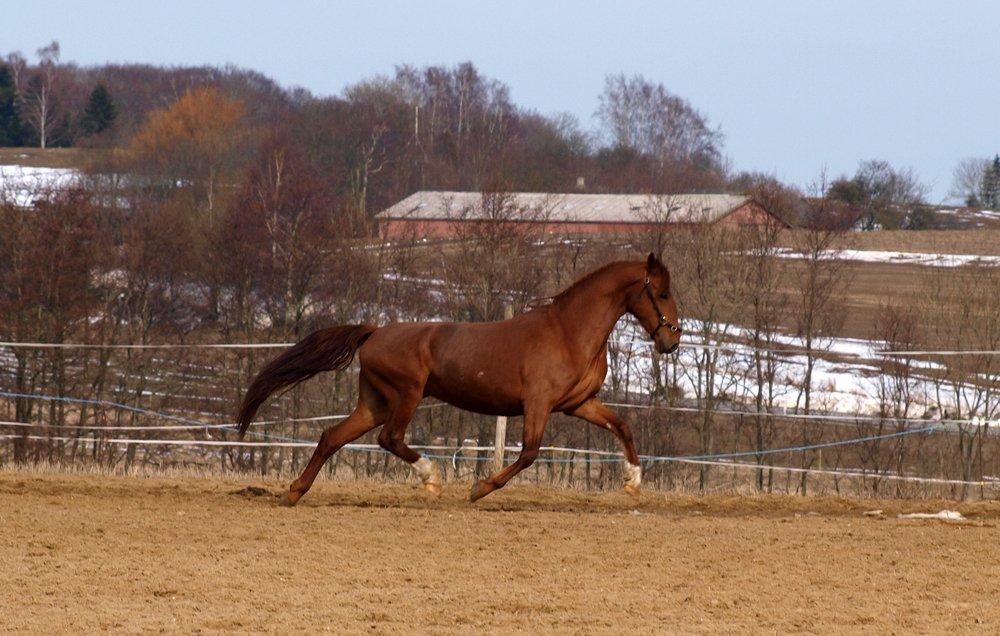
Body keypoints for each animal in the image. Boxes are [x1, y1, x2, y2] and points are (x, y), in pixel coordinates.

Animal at [238, 251, 684, 504]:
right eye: (661, 293)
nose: (672, 340)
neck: (569, 331)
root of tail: (375, 332)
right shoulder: (538, 404)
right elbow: (529, 453)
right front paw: (479, 488)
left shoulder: (578, 404)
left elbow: (622, 426)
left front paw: (633, 482)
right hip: (407, 394)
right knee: (389, 439)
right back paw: (431, 478)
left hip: (375, 402)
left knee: (332, 436)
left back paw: (294, 492)